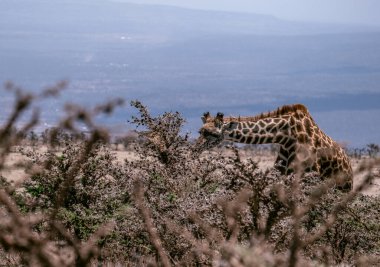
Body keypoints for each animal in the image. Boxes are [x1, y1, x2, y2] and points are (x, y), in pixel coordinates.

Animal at [199, 104, 354, 193]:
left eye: (212, 134)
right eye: (200, 131)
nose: (195, 149)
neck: (288, 136)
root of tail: (350, 167)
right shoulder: (282, 174)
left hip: (344, 188)